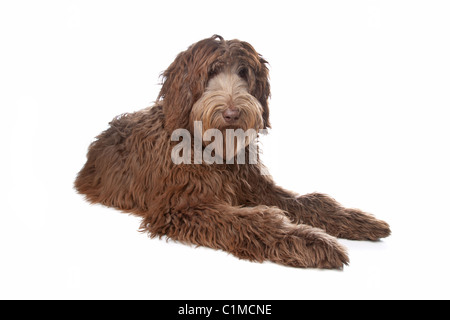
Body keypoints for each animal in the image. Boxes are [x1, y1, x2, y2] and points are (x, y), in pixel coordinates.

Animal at [74, 35, 390, 268]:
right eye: (211, 72)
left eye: (243, 72)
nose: (232, 113)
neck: (215, 151)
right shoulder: (180, 207)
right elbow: (251, 219)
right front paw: (311, 241)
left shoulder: (256, 187)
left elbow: (311, 202)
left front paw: (356, 220)